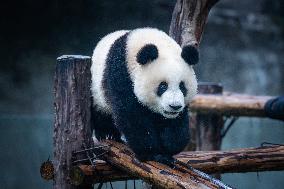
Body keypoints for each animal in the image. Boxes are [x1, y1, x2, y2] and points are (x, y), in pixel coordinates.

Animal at [91, 27, 197, 165]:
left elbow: (178, 122)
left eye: (182, 86)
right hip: (95, 89)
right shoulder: (120, 74)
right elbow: (132, 116)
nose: (174, 106)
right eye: (163, 86)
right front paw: (153, 153)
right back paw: (107, 133)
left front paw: (169, 147)